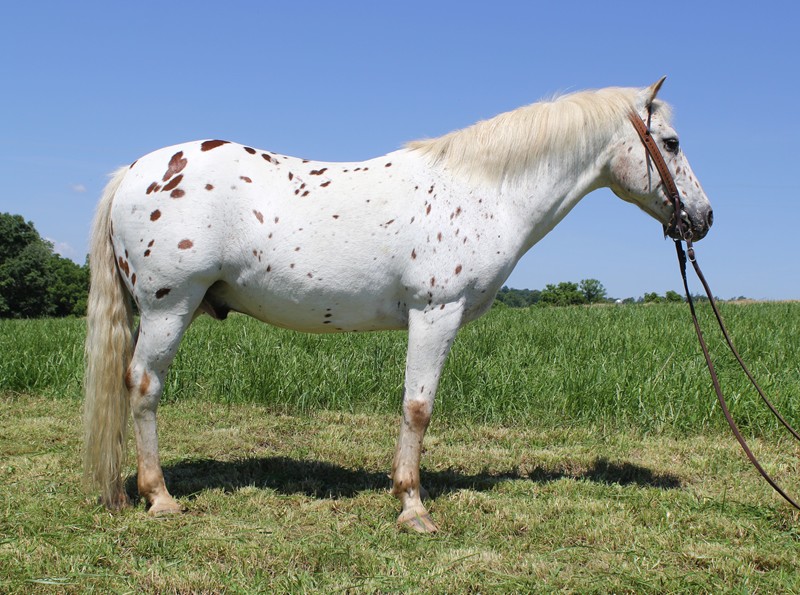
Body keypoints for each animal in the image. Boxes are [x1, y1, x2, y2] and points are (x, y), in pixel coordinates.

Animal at [84, 78, 713, 533]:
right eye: (673, 143)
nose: (703, 218)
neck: (482, 191)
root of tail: (135, 171)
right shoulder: (435, 312)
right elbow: (418, 408)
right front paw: (413, 508)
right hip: (168, 308)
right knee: (143, 386)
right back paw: (160, 498)